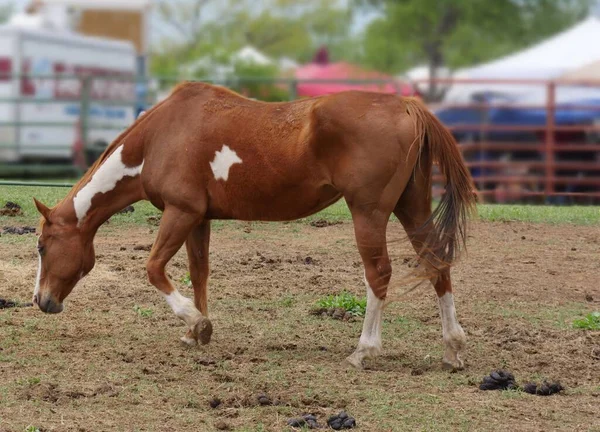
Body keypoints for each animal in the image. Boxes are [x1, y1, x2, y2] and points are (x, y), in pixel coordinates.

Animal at [32, 82, 476, 370]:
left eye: (41, 246)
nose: (41, 301)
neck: (160, 136)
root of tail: (408, 106)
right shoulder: (198, 219)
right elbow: (199, 273)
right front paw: (197, 332)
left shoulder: (180, 212)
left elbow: (154, 269)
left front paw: (194, 321)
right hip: (412, 208)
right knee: (437, 262)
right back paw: (452, 348)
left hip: (369, 214)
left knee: (379, 274)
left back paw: (364, 351)